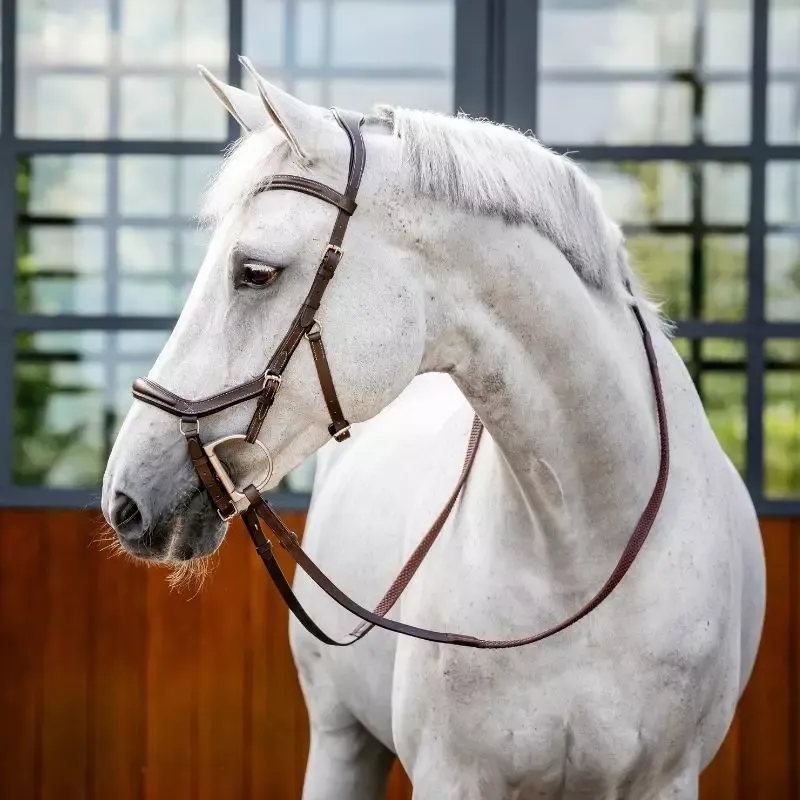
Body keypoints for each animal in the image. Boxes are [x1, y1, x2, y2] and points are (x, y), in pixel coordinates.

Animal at [102, 59, 766, 799]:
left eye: (256, 272)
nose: (124, 499)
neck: (585, 545)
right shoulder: (454, 777)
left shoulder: (666, 779)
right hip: (340, 738)